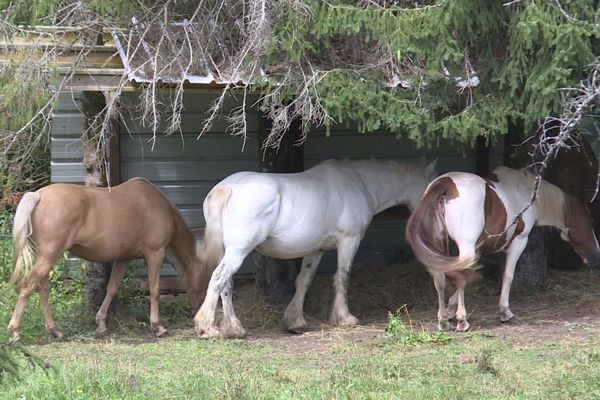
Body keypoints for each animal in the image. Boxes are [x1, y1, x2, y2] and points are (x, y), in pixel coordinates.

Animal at [5, 177, 209, 340]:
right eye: (205, 280)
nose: (201, 313)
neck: (157, 205)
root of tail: (37, 196)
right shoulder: (155, 253)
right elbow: (155, 289)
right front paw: (158, 326)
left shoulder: (123, 258)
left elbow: (112, 288)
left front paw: (101, 323)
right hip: (49, 255)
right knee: (28, 286)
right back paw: (15, 331)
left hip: (45, 257)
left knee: (42, 290)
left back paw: (55, 330)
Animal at [195, 158, 438, 340]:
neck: (358, 183)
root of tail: (226, 188)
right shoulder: (349, 241)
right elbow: (342, 277)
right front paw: (345, 318)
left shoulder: (316, 249)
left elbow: (304, 281)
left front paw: (295, 321)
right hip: (239, 250)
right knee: (219, 279)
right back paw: (207, 327)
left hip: (230, 251)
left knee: (226, 285)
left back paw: (234, 329)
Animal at [404, 166, 600, 332]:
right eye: (589, 221)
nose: (596, 256)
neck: (525, 195)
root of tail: (444, 185)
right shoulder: (519, 241)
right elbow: (507, 275)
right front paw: (505, 311)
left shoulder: (478, 248)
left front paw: (450, 309)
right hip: (464, 248)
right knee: (458, 276)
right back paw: (462, 320)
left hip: (440, 245)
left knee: (441, 278)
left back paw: (442, 321)